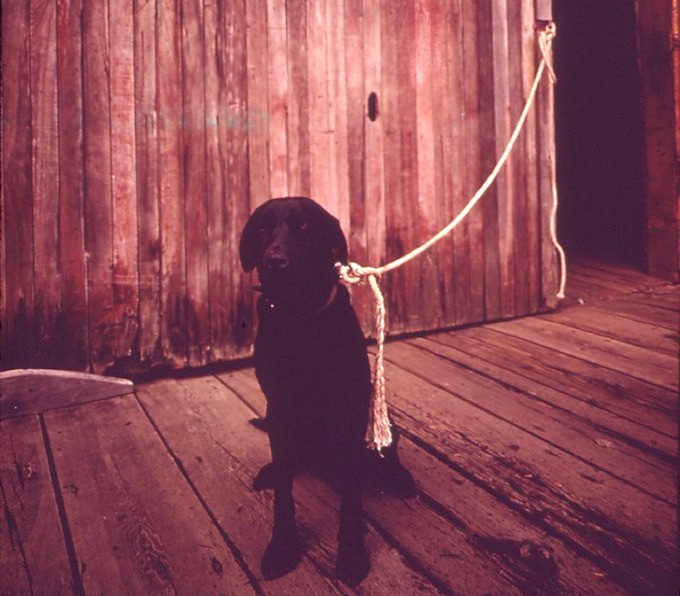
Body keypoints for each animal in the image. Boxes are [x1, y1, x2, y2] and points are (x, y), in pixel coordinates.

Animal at [242, 197, 418, 588]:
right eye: (262, 228)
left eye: (306, 226)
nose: (275, 261)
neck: (299, 317)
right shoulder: (279, 409)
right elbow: (284, 496)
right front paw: (282, 546)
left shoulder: (351, 414)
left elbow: (350, 499)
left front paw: (351, 553)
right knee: (289, 461)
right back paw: (271, 470)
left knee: (388, 452)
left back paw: (398, 477)